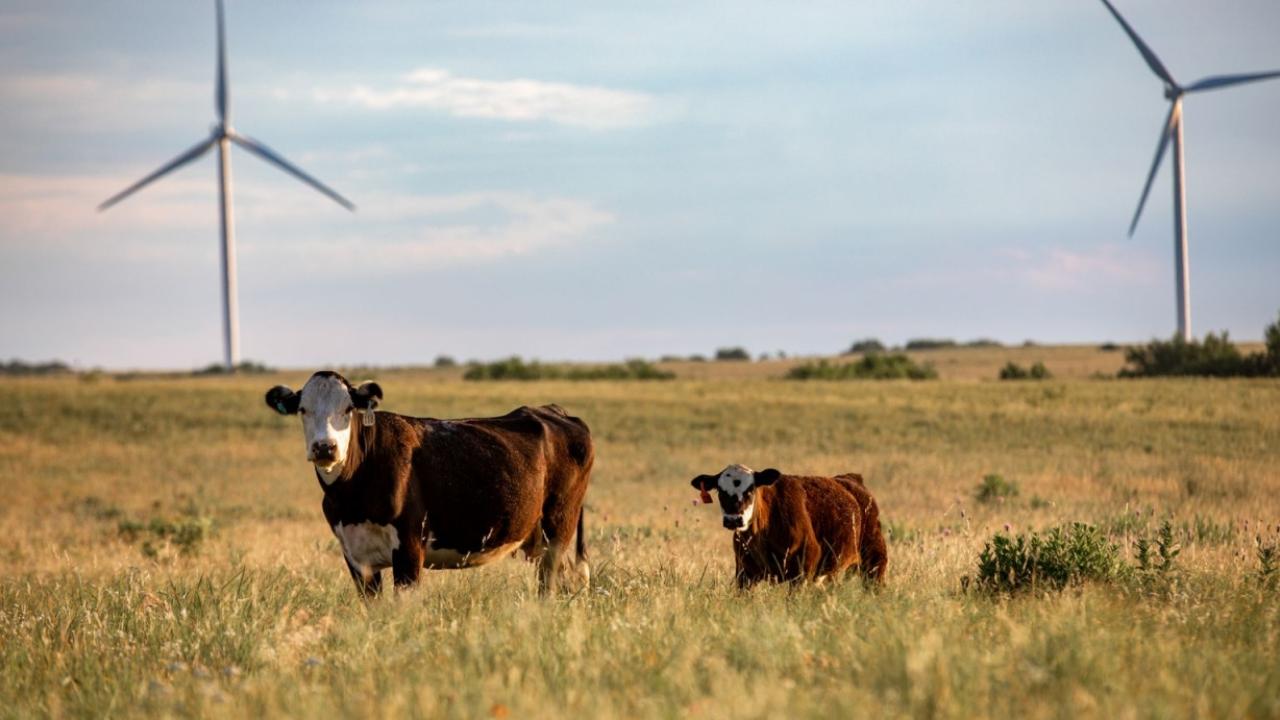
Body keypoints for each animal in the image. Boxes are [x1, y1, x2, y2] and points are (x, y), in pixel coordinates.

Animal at [264, 371, 593, 597]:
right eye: (303, 410)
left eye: (348, 409)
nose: (325, 447)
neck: (352, 496)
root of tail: (553, 410)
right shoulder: (355, 556)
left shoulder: (409, 548)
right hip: (538, 537)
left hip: (558, 526)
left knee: (549, 584)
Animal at [689, 464, 887, 588]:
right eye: (720, 491)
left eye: (750, 490)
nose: (733, 519)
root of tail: (850, 480)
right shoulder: (744, 573)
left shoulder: (803, 567)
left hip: (874, 561)